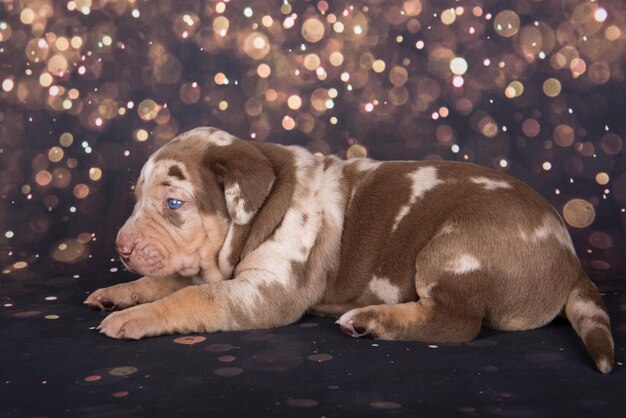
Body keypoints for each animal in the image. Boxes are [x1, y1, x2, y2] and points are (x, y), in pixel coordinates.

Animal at [84, 126, 616, 372]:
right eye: (136, 198)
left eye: (173, 203)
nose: (121, 247)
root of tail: (571, 261)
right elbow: (167, 279)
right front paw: (119, 293)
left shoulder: (264, 292)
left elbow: (191, 295)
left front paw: (133, 318)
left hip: (453, 247)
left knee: (456, 322)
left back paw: (370, 320)